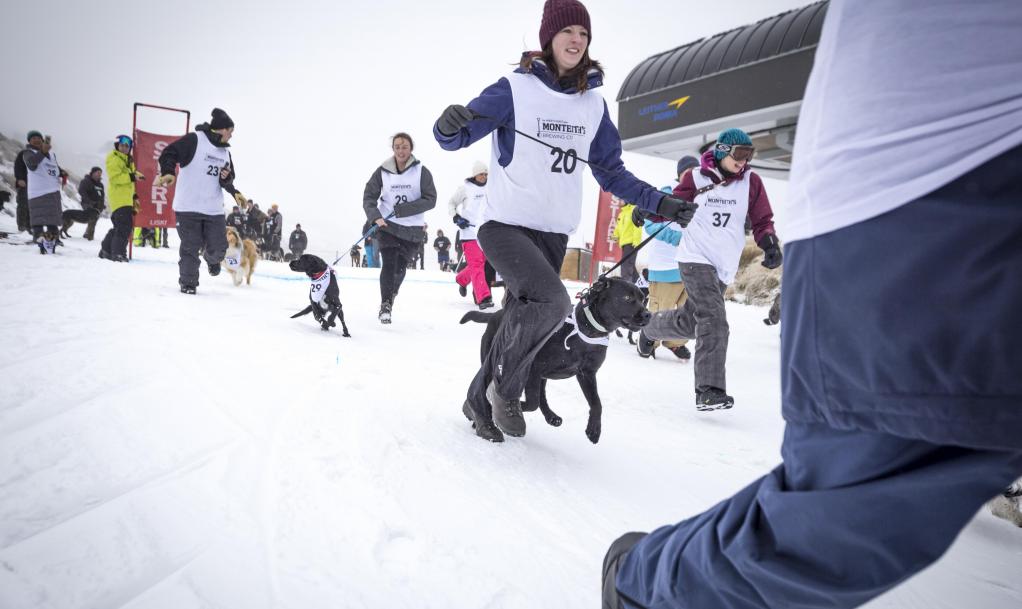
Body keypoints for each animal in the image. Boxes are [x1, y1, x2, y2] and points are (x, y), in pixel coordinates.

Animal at [461, 275, 649, 443]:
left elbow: (597, 403)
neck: (586, 330)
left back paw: (551, 417)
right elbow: (532, 402)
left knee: (541, 398)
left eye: (643, 299)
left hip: (541, 376)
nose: (648, 314)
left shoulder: (586, 374)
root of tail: (496, 315)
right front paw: (506, 409)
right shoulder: (533, 368)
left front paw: (594, 430)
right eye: (627, 298)